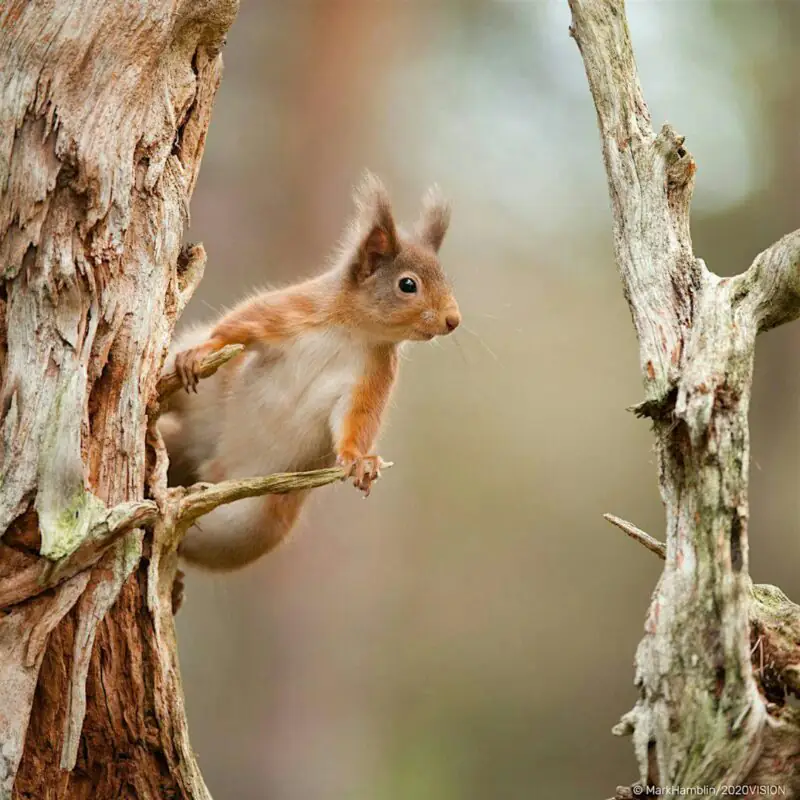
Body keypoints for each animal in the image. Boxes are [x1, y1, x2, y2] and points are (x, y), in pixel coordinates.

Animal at [158, 173, 461, 571]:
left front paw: (360, 461)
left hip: (252, 525)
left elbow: (357, 420)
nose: (454, 320)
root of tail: (208, 460)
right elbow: (240, 325)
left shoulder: (372, 376)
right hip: (205, 399)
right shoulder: (291, 310)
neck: (354, 330)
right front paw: (201, 353)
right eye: (408, 284)